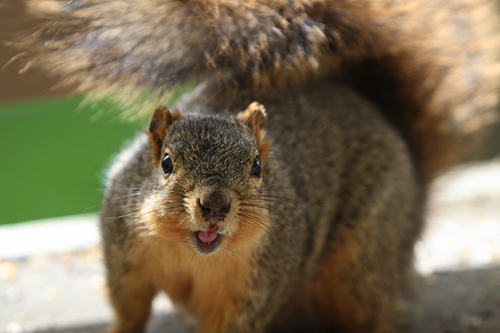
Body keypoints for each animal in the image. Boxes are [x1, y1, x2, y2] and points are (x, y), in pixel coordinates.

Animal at [15, 0, 500, 332]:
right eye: (166, 162)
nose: (214, 206)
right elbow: (129, 308)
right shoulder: (126, 256)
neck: (195, 257)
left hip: (365, 254)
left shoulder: (257, 285)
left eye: (257, 167)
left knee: (369, 311)